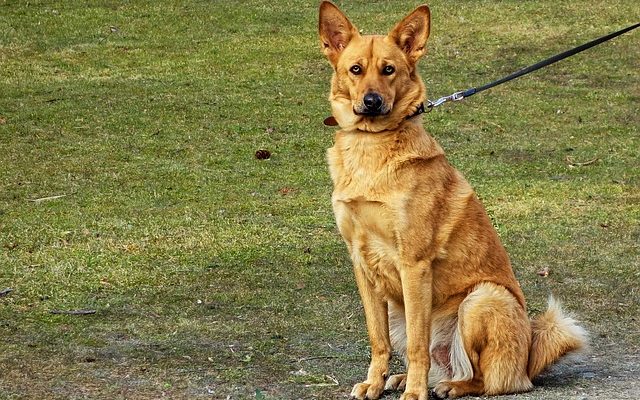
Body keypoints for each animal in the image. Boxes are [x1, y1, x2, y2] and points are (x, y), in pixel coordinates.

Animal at [318, 3, 588, 400]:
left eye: (389, 70)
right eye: (356, 69)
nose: (372, 102)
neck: (372, 146)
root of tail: (528, 359)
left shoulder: (414, 265)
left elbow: (418, 344)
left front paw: (415, 393)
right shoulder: (362, 264)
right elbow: (378, 339)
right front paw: (375, 382)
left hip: (482, 299)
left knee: (487, 379)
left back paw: (448, 385)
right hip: (401, 308)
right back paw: (403, 378)